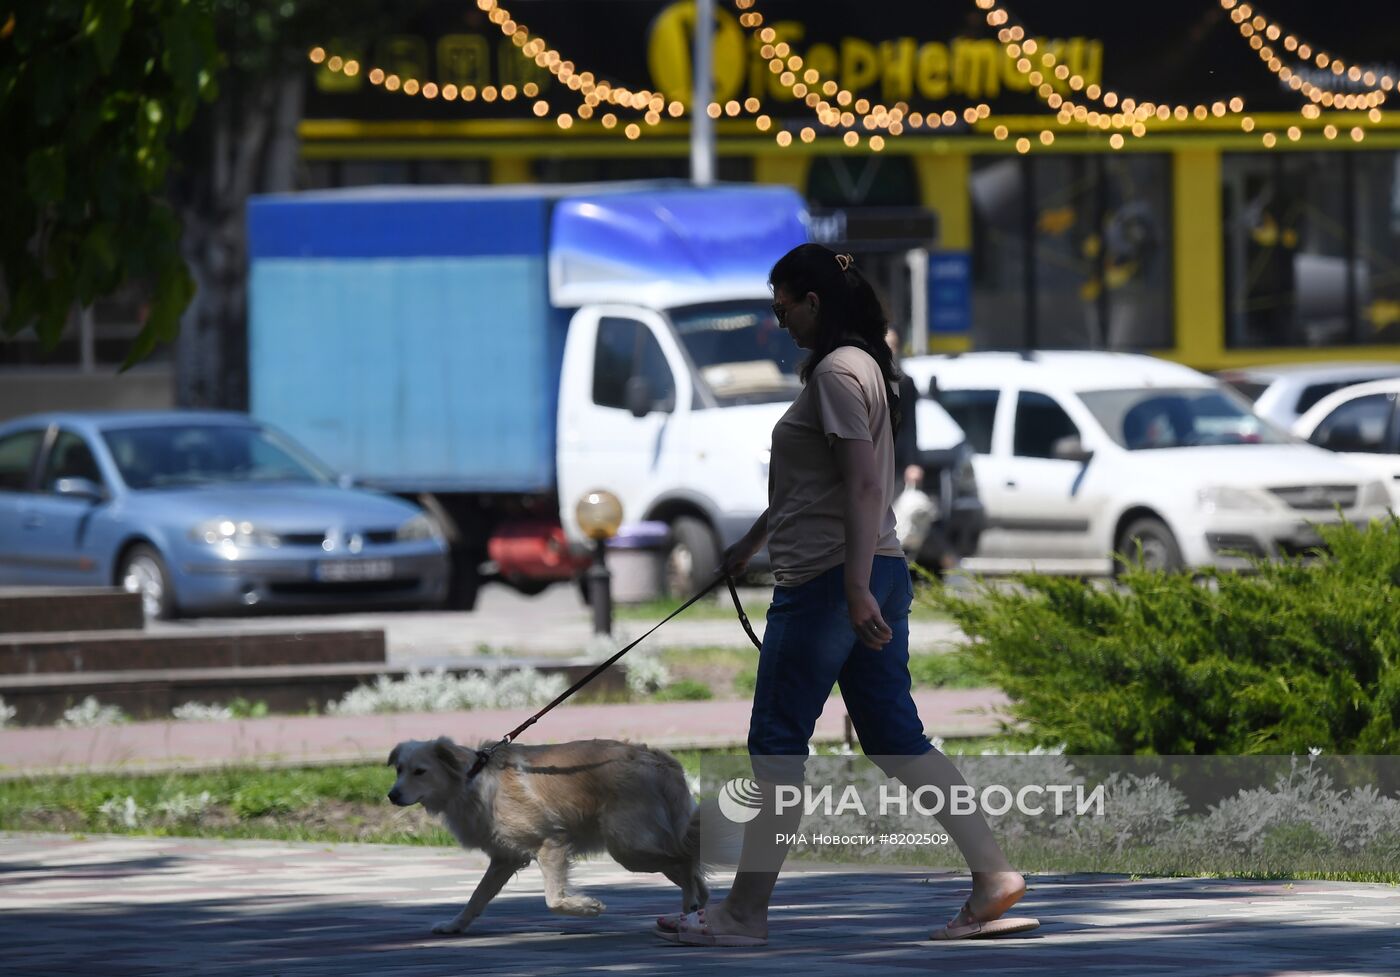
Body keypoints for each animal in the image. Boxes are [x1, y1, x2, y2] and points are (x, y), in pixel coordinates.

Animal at [386, 733, 705, 935]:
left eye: (420, 771)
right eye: (399, 769)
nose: (392, 795)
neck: (472, 779)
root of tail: (655, 758)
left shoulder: (551, 844)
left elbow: (553, 899)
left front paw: (587, 907)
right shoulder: (504, 859)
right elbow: (477, 897)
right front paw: (455, 925)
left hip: (630, 849)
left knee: (686, 859)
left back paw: (690, 908)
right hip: (642, 846)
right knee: (695, 875)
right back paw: (693, 915)